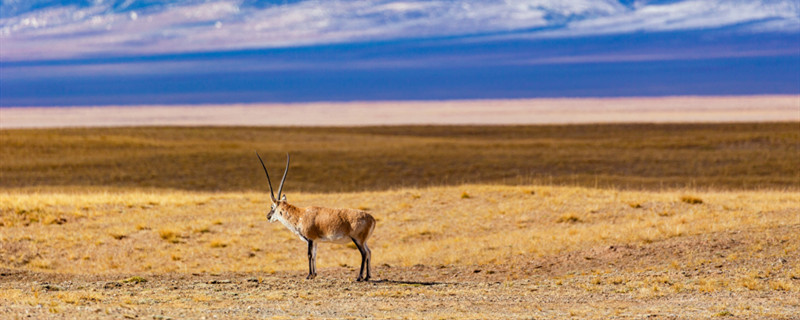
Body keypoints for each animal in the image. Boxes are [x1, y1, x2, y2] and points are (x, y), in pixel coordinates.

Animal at [260, 152, 378, 280]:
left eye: (272, 207)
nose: (267, 216)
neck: (300, 215)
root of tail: (371, 219)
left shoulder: (310, 240)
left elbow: (309, 255)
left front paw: (309, 275)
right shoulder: (315, 241)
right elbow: (314, 255)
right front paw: (314, 274)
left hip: (357, 240)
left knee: (364, 253)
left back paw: (359, 277)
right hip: (363, 241)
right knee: (369, 252)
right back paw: (368, 276)